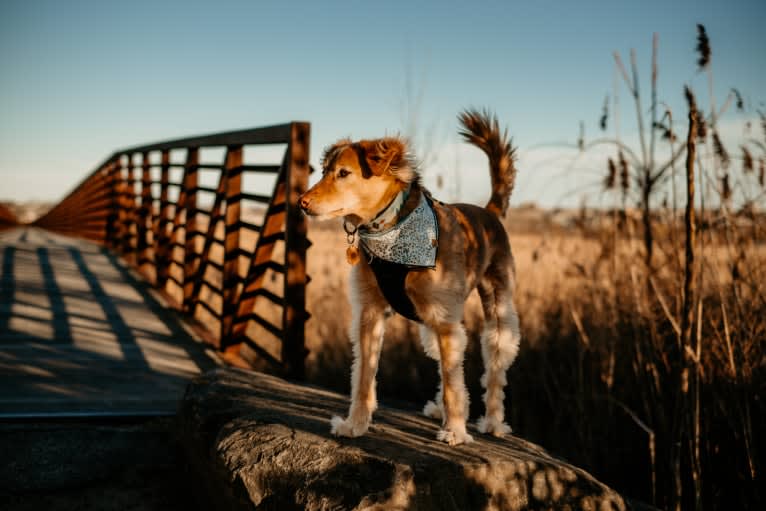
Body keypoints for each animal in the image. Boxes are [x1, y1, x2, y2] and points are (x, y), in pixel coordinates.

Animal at [300, 110, 520, 446]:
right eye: (324, 171)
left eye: (344, 173)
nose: (302, 202)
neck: (391, 233)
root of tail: (489, 212)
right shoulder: (370, 315)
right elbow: (363, 379)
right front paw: (355, 424)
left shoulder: (444, 320)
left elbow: (455, 385)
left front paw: (456, 430)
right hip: (431, 327)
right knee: (446, 365)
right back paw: (439, 410)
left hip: (498, 314)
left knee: (493, 368)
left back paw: (493, 422)